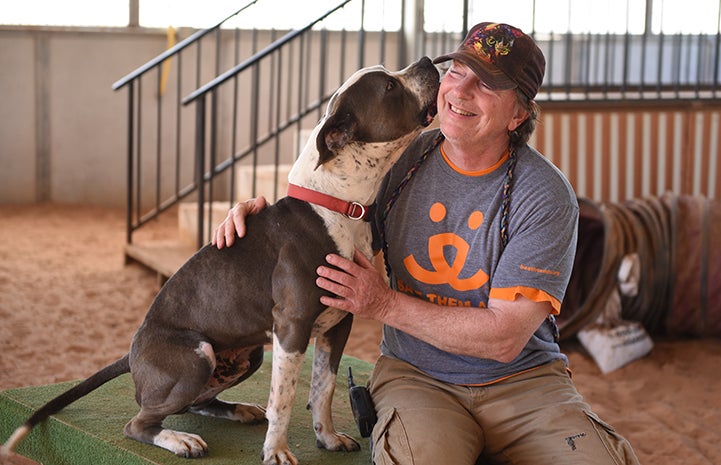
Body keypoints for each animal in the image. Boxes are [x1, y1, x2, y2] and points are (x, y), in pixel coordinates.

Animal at [1, 58, 438, 464]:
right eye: (388, 85)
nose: (427, 62)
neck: (338, 206)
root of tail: (131, 354)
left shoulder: (339, 322)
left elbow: (323, 387)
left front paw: (327, 438)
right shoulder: (292, 326)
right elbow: (284, 398)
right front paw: (276, 451)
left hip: (249, 354)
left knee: (194, 403)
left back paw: (237, 410)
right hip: (198, 355)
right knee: (141, 422)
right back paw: (180, 440)